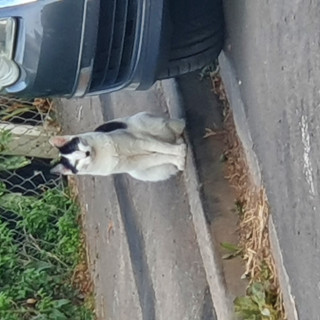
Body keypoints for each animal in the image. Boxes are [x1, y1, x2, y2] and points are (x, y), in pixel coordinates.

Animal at [48, 112, 186, 182]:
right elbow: (160, 157)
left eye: (76, 147)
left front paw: (179, 151)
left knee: (173, 128)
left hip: (149, 124)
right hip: (141, 172)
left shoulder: (139, 141)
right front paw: (179, 158)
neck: (102, 153)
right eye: (76, 163)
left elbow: (161, 147)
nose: (87, 153)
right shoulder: (140, 162)